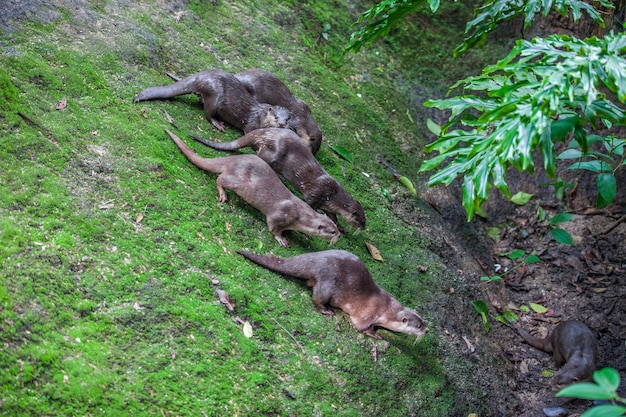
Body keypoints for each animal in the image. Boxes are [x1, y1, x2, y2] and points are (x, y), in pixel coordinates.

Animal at [134, 68, 290, 133]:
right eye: (276, 117)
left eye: (287, 119)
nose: (282, 124)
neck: (261, 116)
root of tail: (201, 76)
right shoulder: (252, 124)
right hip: (214, 96)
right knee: (208, 113)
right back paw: (218, 123)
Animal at [162, 129, 336, 247]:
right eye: (332, 231)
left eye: (335, 226)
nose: (339, 234)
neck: (301, 215)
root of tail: (234, 160)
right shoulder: (279, 216)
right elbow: (273, 227)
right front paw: (281, 239)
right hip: (238, 182)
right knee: (220, 179)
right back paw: (223, 195)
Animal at [191, 127, 366, 231]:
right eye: (361, 220)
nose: (363, 228)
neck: (334, 195)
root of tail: (266, 133)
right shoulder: (317, 194)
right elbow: (311, 205)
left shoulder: (328, 204)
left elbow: (333, 216)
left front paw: (341, 227)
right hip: (273, 153)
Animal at [236, 247, 426, 338]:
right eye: (418, 326)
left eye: (424, 322)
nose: (427, 331)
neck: (388, 309)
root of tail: (317, 258)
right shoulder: (368, 313)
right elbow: (362, 326)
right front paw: (375, 334)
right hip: (327, 284)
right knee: (316, 298)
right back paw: (326, 311)